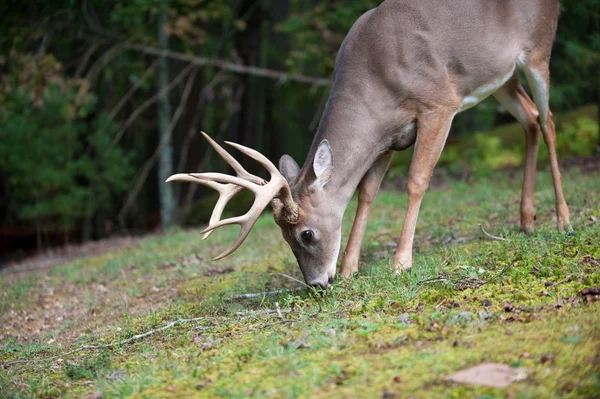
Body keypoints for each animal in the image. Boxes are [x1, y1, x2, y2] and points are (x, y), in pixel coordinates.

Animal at [166, 0, 568, 290]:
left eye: (306, 233)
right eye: (283, 237)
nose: (317, 284)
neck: (376, 80)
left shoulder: (438, 103)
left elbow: (416, 181)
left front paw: (400, 263)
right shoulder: (388, 136)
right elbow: (367, 193)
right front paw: (349, 270)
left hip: (539, 47)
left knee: (549, 120)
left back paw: (563, 219)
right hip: (501, 77)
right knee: (531, 119)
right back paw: (527, 220)